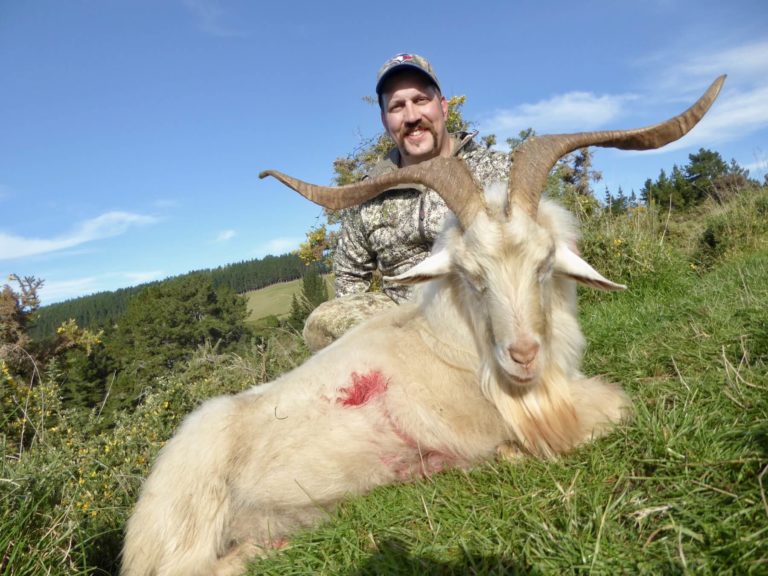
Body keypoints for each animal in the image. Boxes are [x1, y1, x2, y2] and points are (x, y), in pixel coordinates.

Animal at [121, 76, 724, 576]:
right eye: (472, 275)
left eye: (544, 262)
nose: (522, 355)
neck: (450, 344)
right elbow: (617, 404)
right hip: (191, 517)